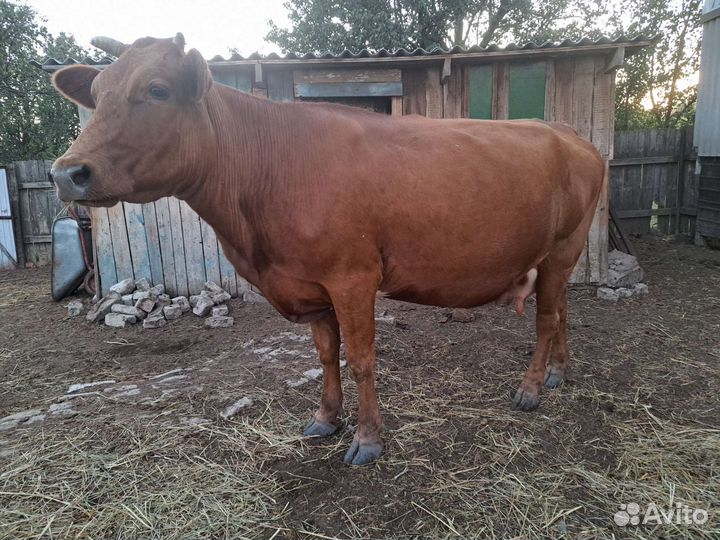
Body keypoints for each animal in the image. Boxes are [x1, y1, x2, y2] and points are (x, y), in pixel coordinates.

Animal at [50, 34, 605, 465]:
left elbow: (360, 358)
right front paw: (325, 418)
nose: (67, 172)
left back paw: (531, 389)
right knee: (561, 310)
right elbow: (324, 355)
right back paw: (558, 372)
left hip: (564, 247)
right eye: (96, 95)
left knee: (545, 318)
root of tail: (568, 132)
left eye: (157, 90)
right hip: (558, 255)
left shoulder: (352, 277)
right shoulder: (308, 283)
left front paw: (368, 439)